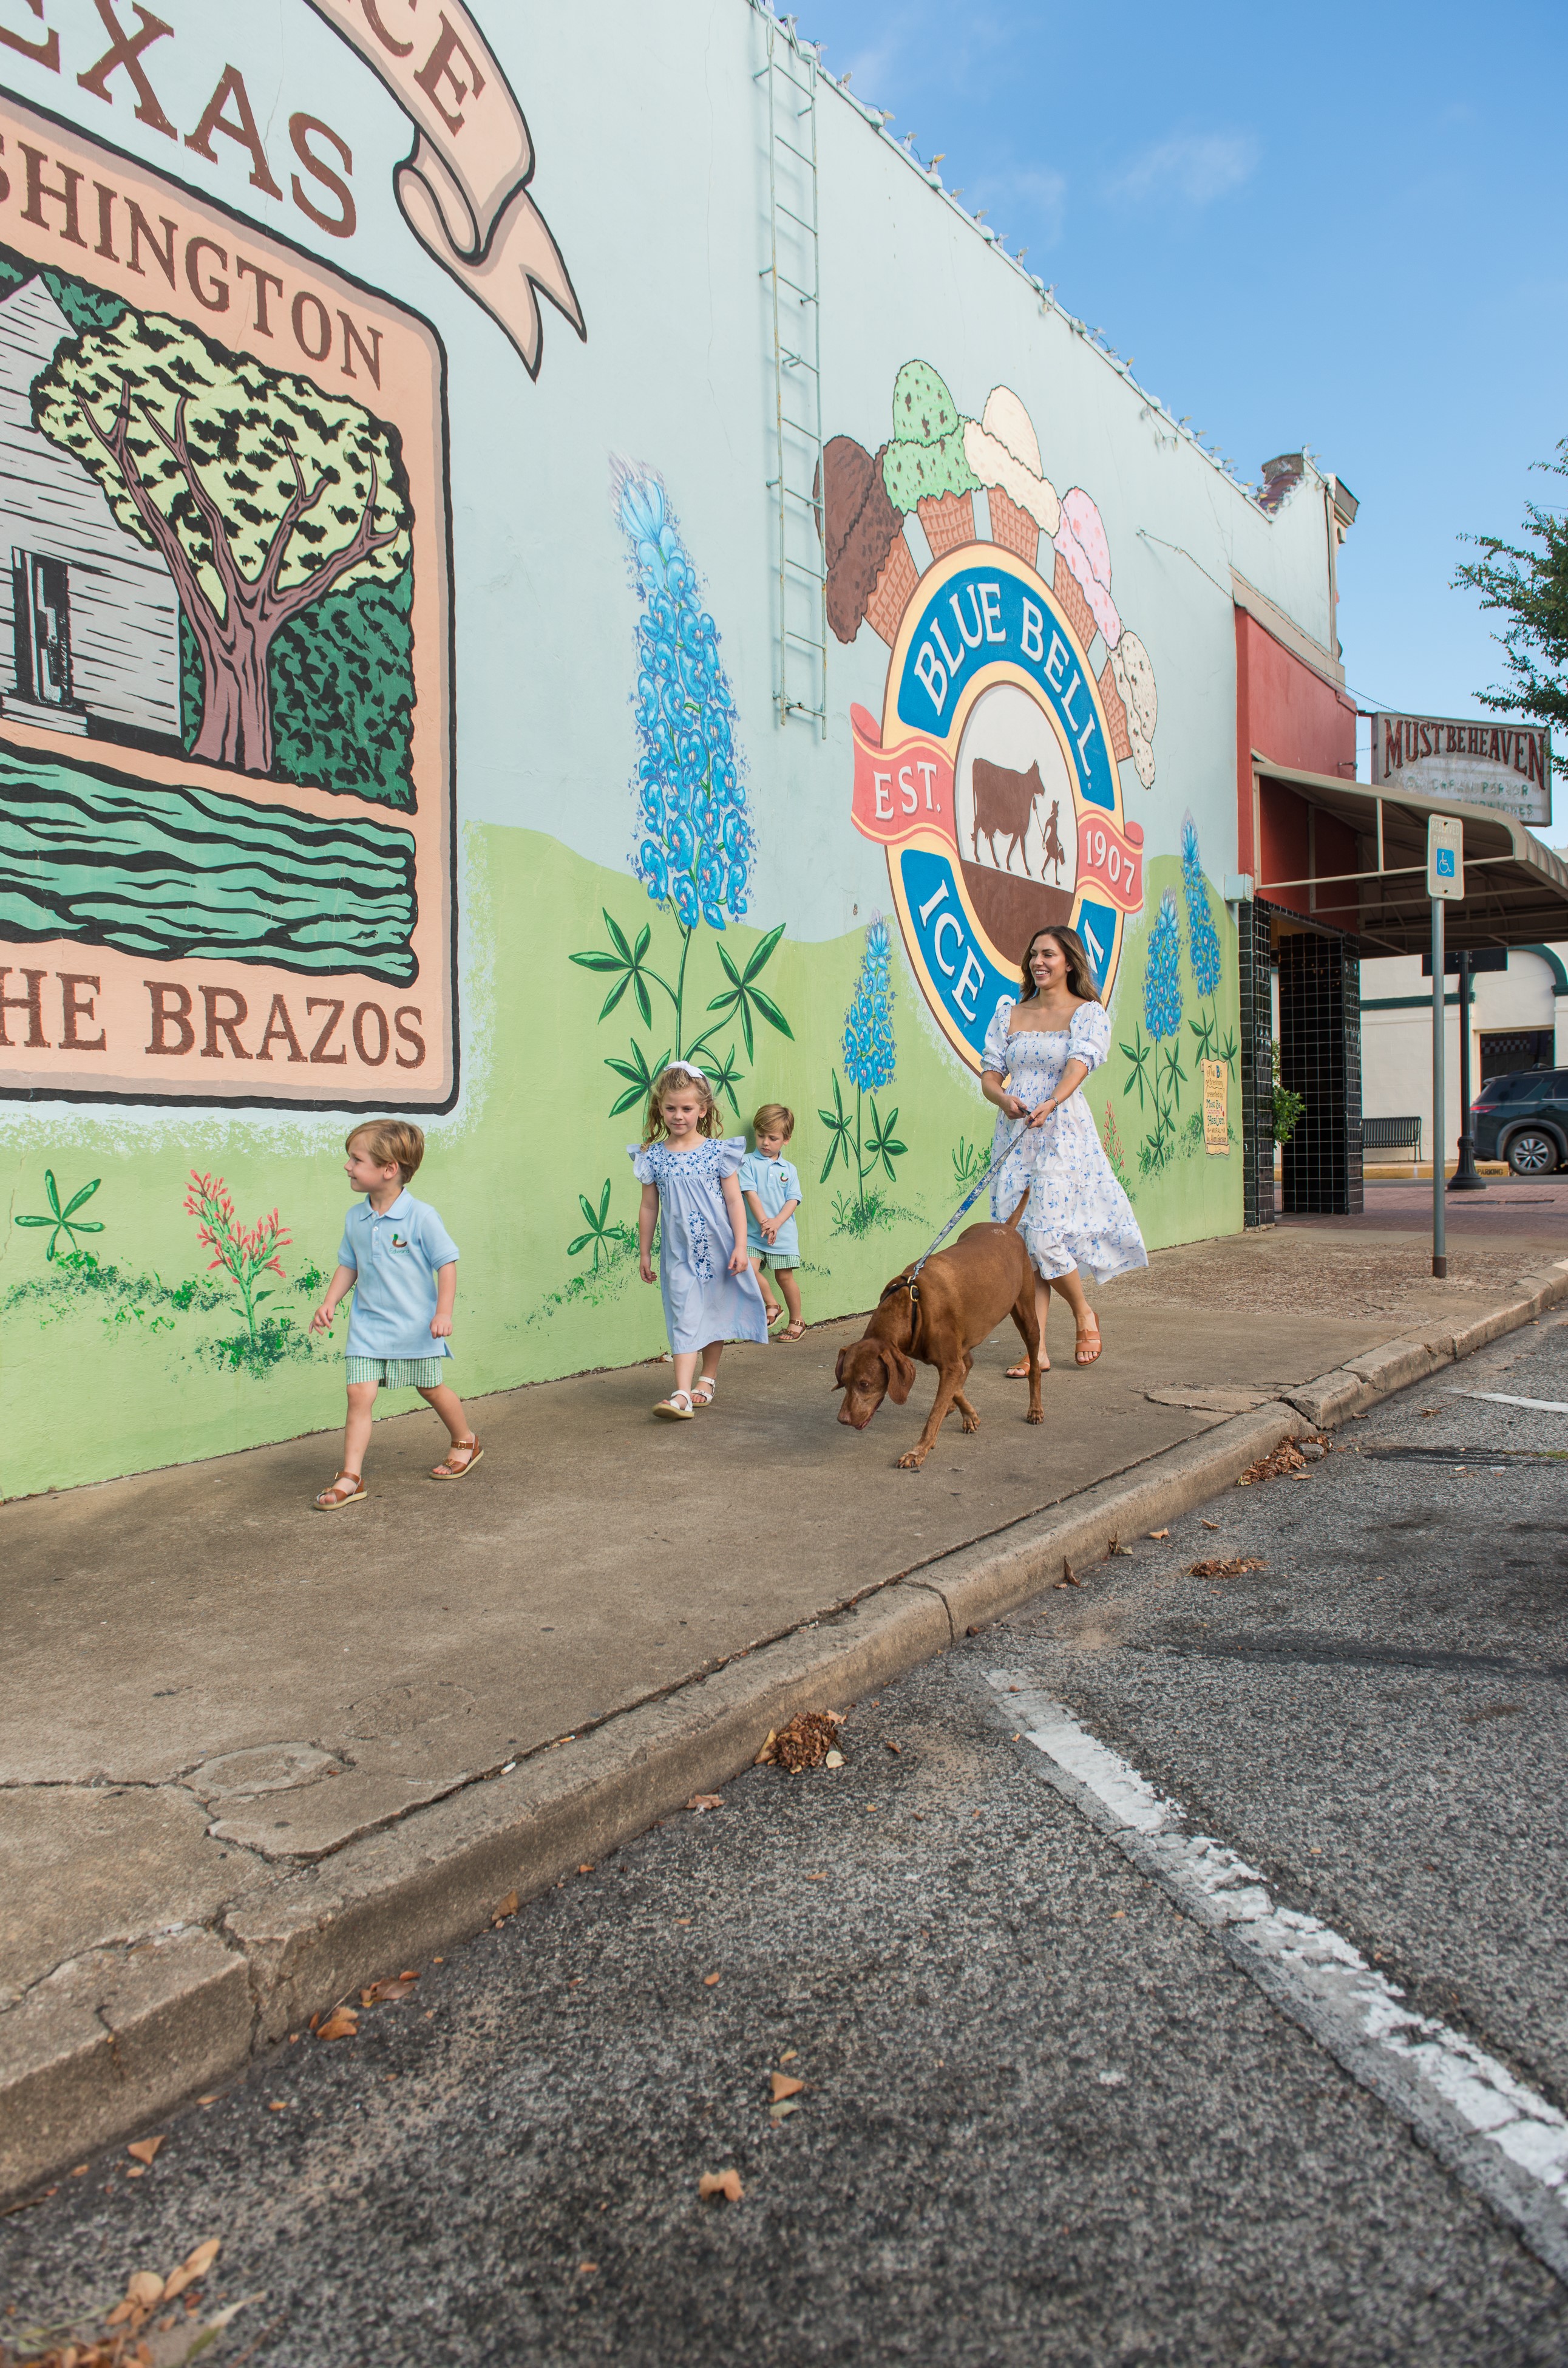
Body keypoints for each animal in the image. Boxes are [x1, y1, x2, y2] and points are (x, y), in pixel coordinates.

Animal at [833, 1193, 1042, 1468]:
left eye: (865, 1384)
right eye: (844, 1381)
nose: (843, 1420)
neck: (911, 1304)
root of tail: (1006, 1227)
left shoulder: (949, 1363)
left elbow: (934, 1413)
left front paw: (918, 1451)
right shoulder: (942, 1357)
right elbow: (955, 1387)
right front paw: (967, 1414)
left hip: (1027, 1314)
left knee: (1035, 1367)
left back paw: (1036, 1409)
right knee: (969, 1361)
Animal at [971, 758, 1042, 880]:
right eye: (1036, 774)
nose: (1043, 790)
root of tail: (977, 760)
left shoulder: (1017, 831)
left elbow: (1012, 846)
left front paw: (1008, 865)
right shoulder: (1021, 831)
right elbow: (1022, 849)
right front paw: (1027, 870)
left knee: (987, 834)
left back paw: (995, 861)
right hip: (983, 812)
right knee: (977, 826)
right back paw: (978, 857)